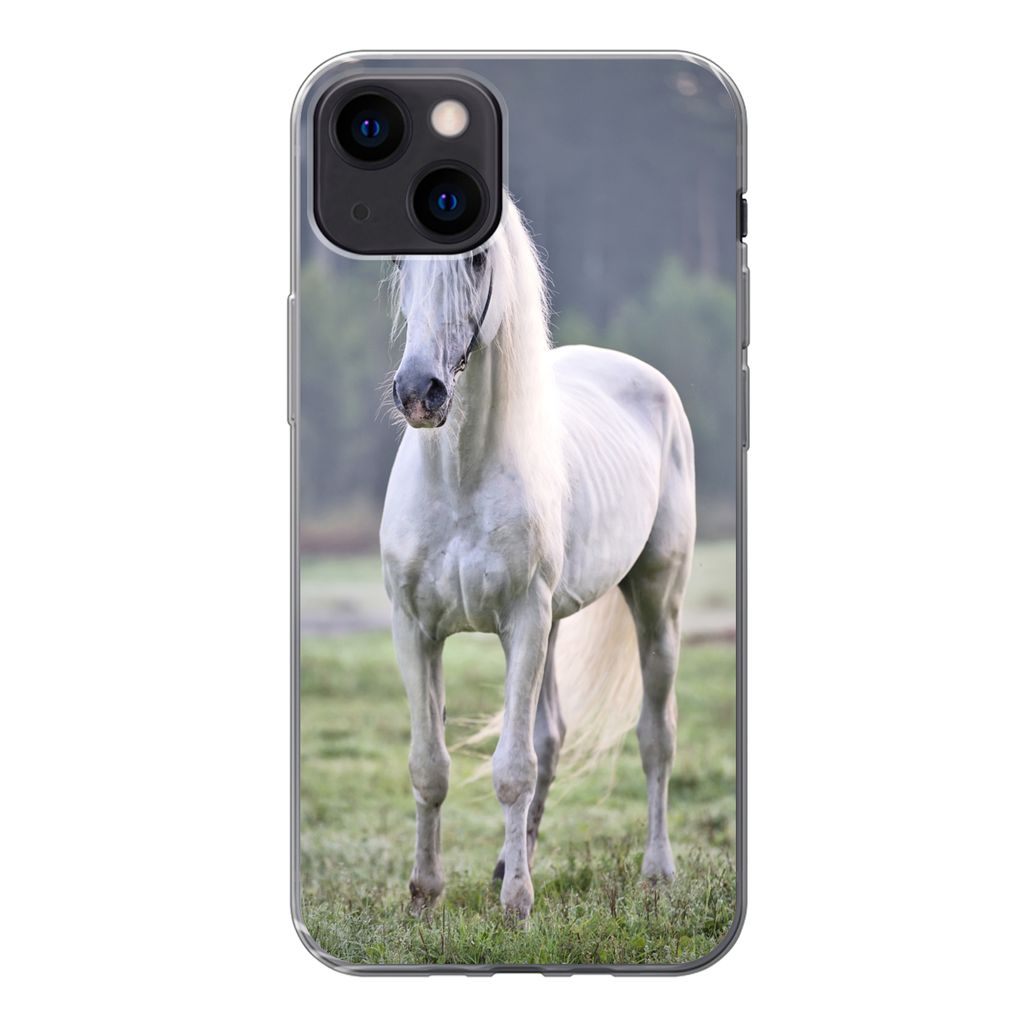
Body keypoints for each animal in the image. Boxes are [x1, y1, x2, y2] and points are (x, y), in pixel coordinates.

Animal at [379, 193, 696, 919]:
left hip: (654, 600)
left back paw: (656, 872)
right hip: (553, 624)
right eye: (398, 258)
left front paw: (517, 905)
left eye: (475, 258)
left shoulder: (522, 622)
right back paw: (506, 861)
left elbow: (511, 769)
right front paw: (425, 895)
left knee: (655, 736)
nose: (419, 393)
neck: (461, 479)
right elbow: (429, 766)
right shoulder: (416, 629)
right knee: (551, 737)